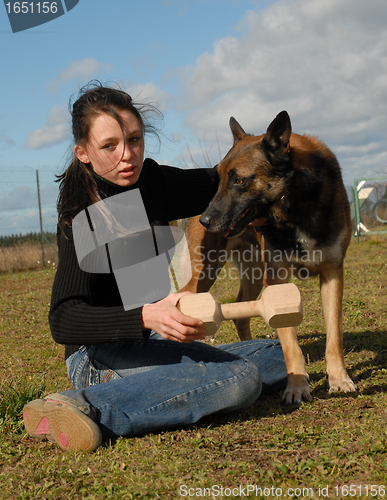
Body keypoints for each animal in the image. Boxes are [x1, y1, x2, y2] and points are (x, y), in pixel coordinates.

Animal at [183, 111, 358, 404]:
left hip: (252, 274)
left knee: (240, 313)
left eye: (239, 180)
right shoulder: (277, 280)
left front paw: (339, 379)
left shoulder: (333, 273)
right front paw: (297, 386)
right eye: (218, 180)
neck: (296, 204)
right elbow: (290, 344)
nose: (205, 221)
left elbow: (335, 336)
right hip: (206, 272)